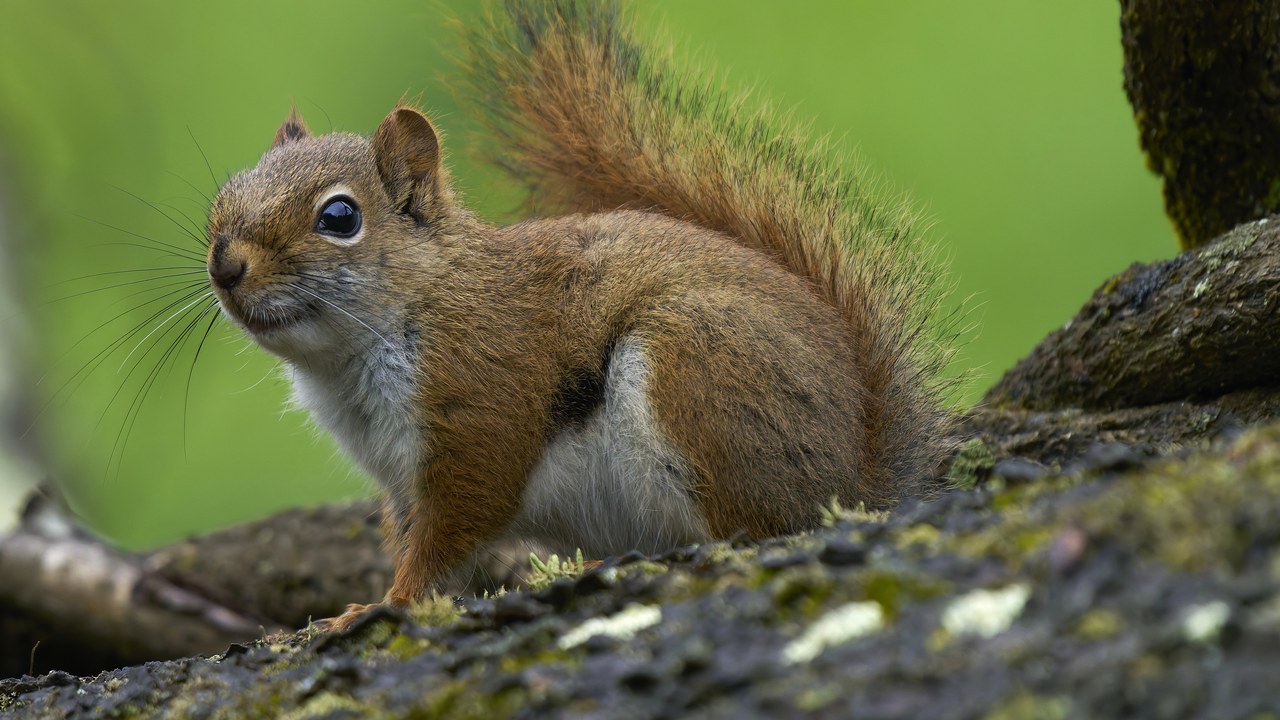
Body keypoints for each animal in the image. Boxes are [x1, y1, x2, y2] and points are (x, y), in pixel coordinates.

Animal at [205, 0, 954, 630]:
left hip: (697, 369)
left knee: (756, 527)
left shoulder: (482, 406)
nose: (225, 266)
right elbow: (414, 535)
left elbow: (456, 525)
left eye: (340, 217)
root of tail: (856, 477)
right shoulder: (399, 478)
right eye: (227, 192)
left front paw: (384, 605)